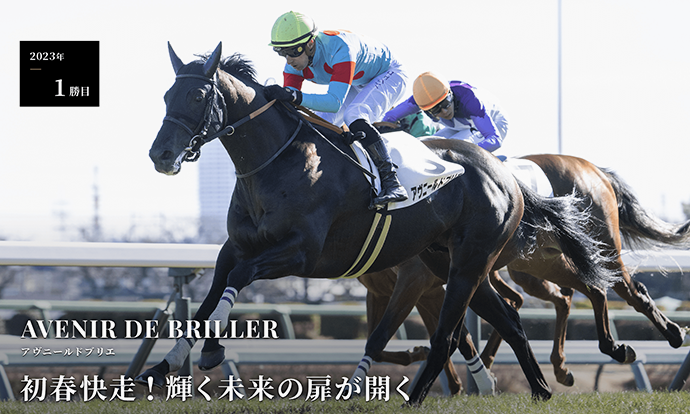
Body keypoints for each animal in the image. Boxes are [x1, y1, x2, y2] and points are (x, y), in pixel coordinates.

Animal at [139, 42, 617, 405]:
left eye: (197, 98)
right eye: (165, 96)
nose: (160, 155)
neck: (278, 161)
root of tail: (508, 176)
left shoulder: (301, 252)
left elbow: (239, 280)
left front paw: (212, 350)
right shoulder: (235, 247)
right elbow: (207, 301)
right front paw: (162, 365)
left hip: (468, 264)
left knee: (447, 337)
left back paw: (419, 398)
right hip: (452, 263)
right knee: (510, 321)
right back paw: (539, 389)